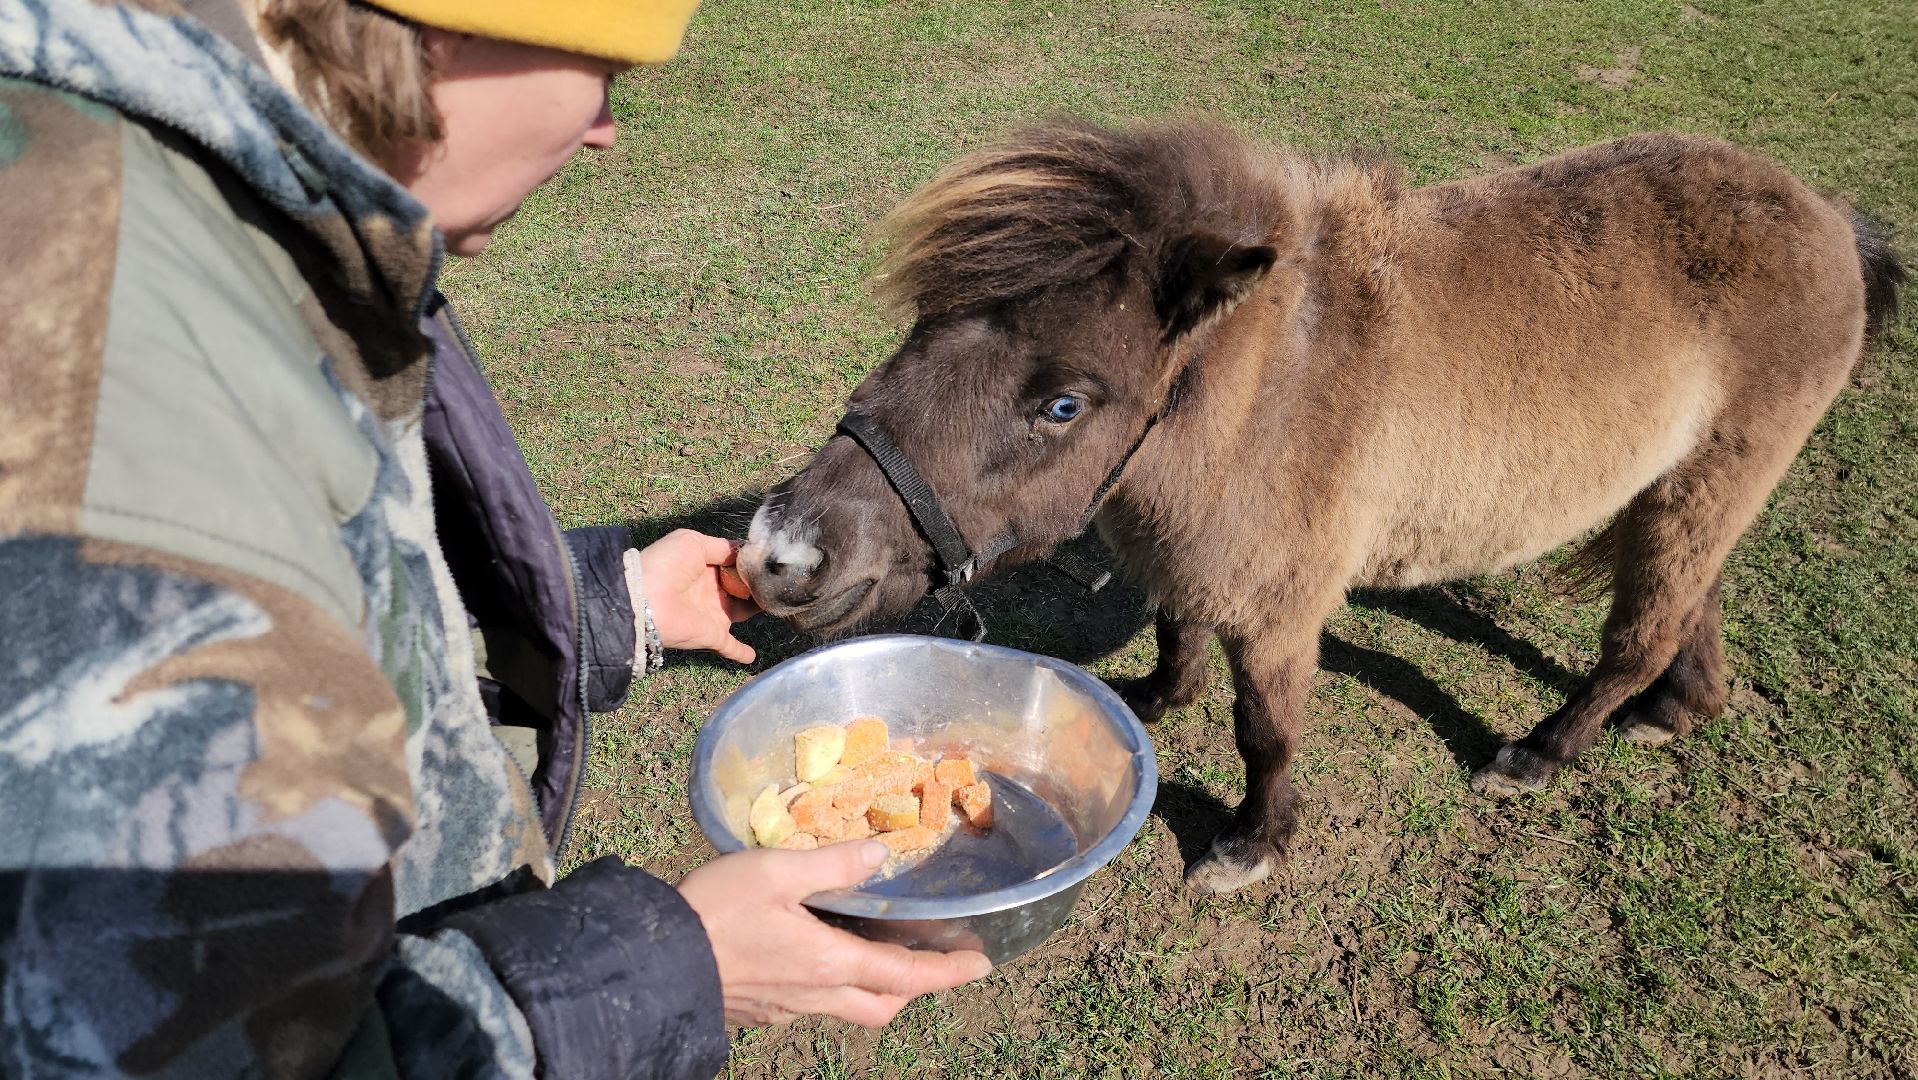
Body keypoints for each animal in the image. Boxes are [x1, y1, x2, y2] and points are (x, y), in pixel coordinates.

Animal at [735, 120, 1905, 894]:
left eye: (1063, 403)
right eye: (920, 328)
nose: (780, 555)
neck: (1264, 396)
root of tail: (1831, 221)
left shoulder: (1281, 608)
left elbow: (1266, 732)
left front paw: (1252, 844)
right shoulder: (1203, 559)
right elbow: (1177, 625)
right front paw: (1156, 701)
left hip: (1707, 482)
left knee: (1639, 632)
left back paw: (1542, 752)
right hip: (1688, 482)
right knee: (1693, 598)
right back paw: (1678, 708)